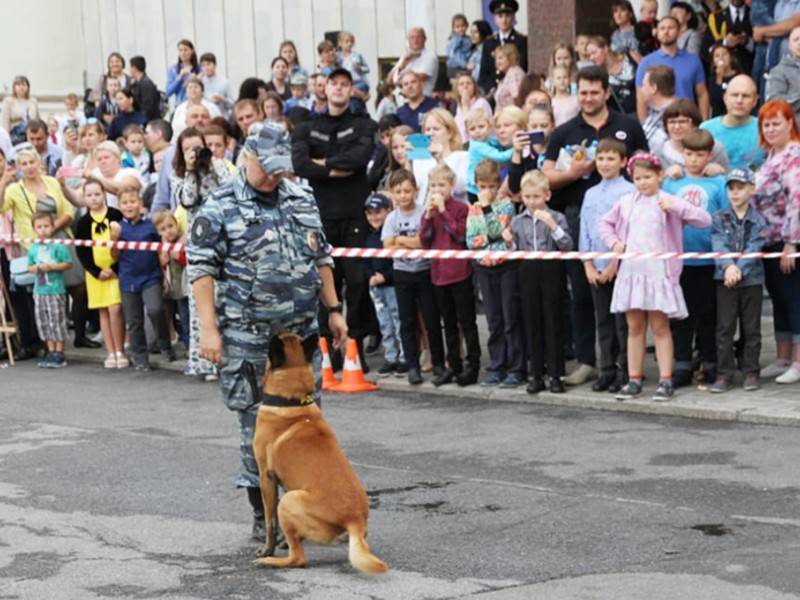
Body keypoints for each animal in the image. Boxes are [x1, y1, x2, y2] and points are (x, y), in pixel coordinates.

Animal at [250, 330, 388, 576]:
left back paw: (272, 561)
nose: (268, 328)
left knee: (298, 559)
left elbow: (269, 521)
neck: (291, 402)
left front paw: (268, 549)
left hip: (288, 500)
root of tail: (354, 520)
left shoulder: (266, 477)